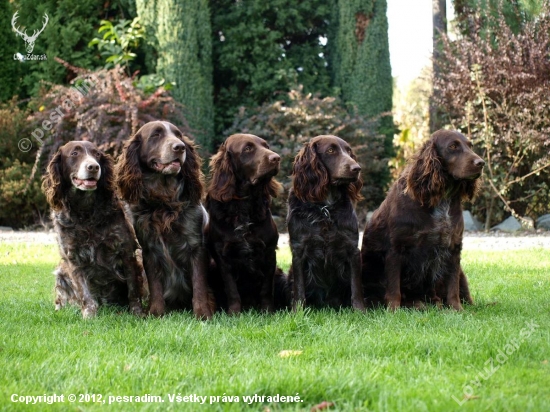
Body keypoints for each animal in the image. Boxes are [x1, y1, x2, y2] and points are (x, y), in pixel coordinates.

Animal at [42, 140, 147, 318]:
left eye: (97, 154)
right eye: (74, 153)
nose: (93, 167)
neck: (85, 211)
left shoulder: (126, 252)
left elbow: (133, 290)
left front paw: (137, 313)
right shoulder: (73, 259)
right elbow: (85, 294)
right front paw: (89, 316)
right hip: (61, 271)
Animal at [288, 137, 366, 310]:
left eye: (349, 151)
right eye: (331, 150)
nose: (357, 168)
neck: (324, 207)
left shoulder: (352, 249)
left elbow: (356, 286)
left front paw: (360, 310)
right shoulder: (298, 250)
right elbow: (299, 288)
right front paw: (298, 312)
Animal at [362, 130, 488, 310]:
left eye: (470, 145)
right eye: (453, 146)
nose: (481, 163)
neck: (441, 198)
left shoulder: (453, 248)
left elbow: (452, 287)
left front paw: (457, 309)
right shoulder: (396, 248)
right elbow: (394, 288)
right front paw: (393, 310)